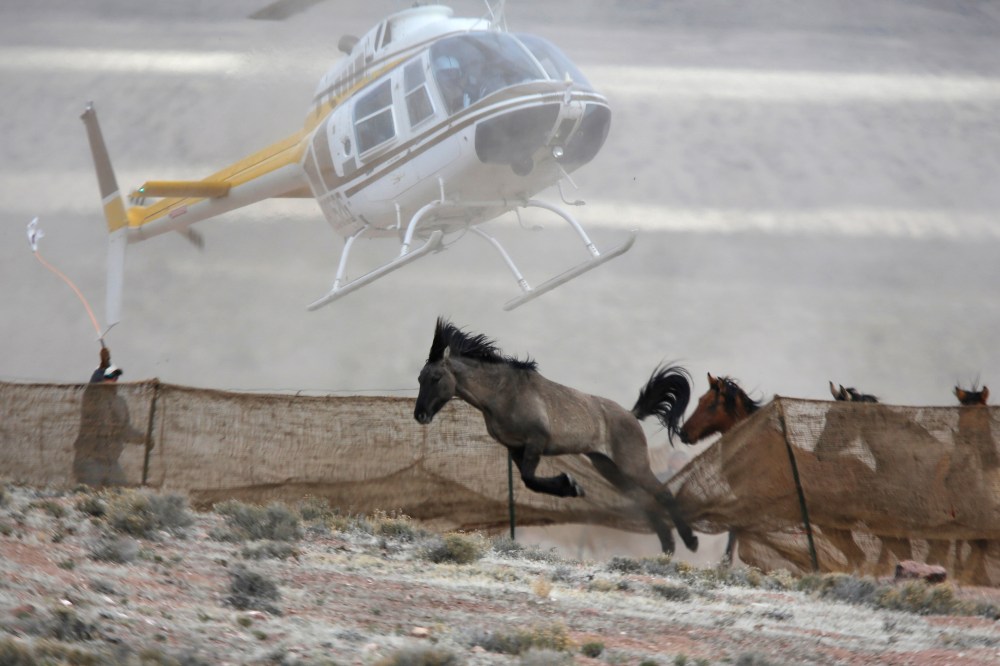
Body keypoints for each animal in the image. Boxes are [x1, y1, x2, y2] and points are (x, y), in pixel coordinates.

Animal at [413, 317, 698, 554]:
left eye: (436, 377)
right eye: (419, 378)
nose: (420, 415)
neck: (503, 394)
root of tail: (631, 415)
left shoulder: (536, 442)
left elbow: (530, 479)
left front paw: (571, 485)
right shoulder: (514, 448)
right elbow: (530, 481)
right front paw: (571, 486)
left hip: (633, 464)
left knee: (662, 493)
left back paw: (690, 541)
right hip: (608, 467)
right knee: (641, 499)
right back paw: (668, 545)